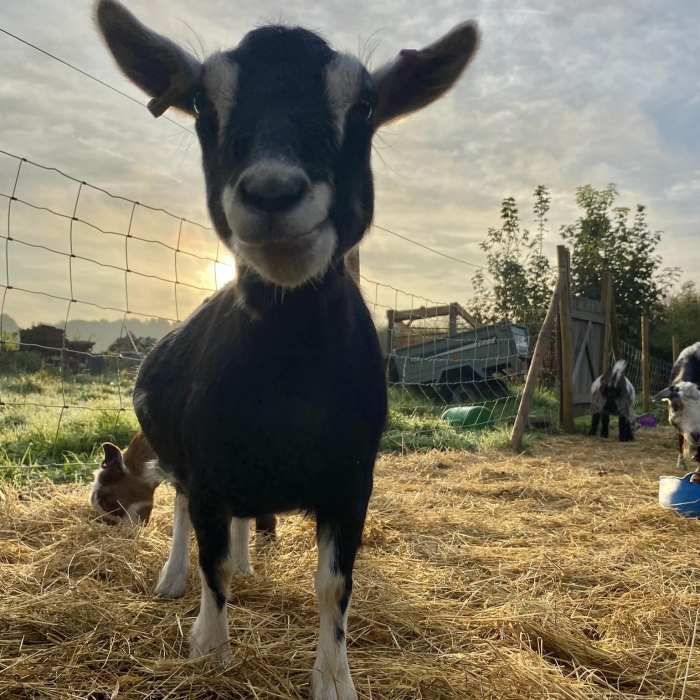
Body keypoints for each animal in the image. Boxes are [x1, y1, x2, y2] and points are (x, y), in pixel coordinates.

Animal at [94, 1, 480, 697]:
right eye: (203, 102)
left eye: (364, 106)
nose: (272, 194)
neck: (288, 381)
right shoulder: (208, 470)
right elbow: (210, 561)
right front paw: (210, 649)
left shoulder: (352, 482)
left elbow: (333, 586)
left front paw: (333, 679)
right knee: (185, 517)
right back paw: (172, 580)